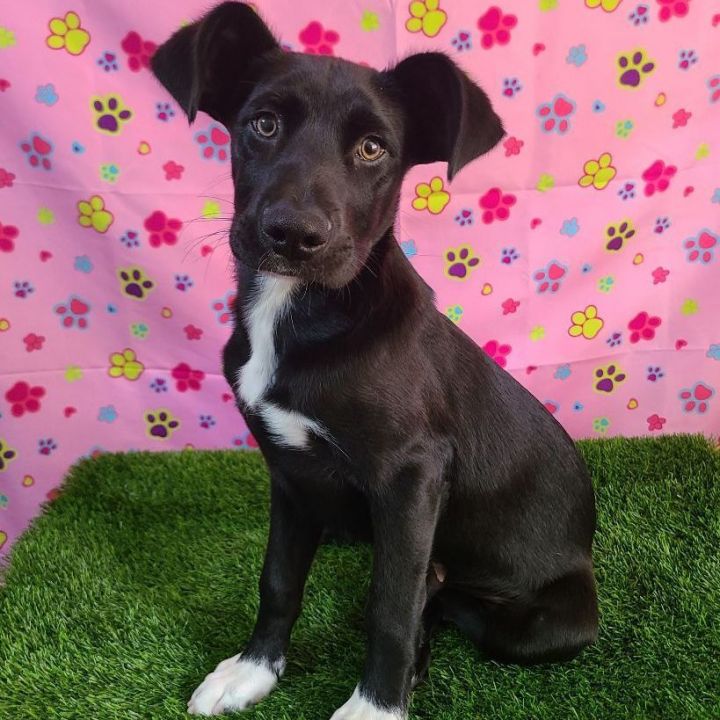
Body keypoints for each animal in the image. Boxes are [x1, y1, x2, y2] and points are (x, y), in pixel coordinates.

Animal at [150, 2, 596, 716]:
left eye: (372, 148)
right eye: (263, 124)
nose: (293, 235)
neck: (297, 314)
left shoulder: (410, 476)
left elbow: (389, 606)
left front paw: (375, 705)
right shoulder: (290, 474)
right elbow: (278, 579)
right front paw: (255, 669)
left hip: (541, 626)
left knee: (431, 596)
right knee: (430, 593)